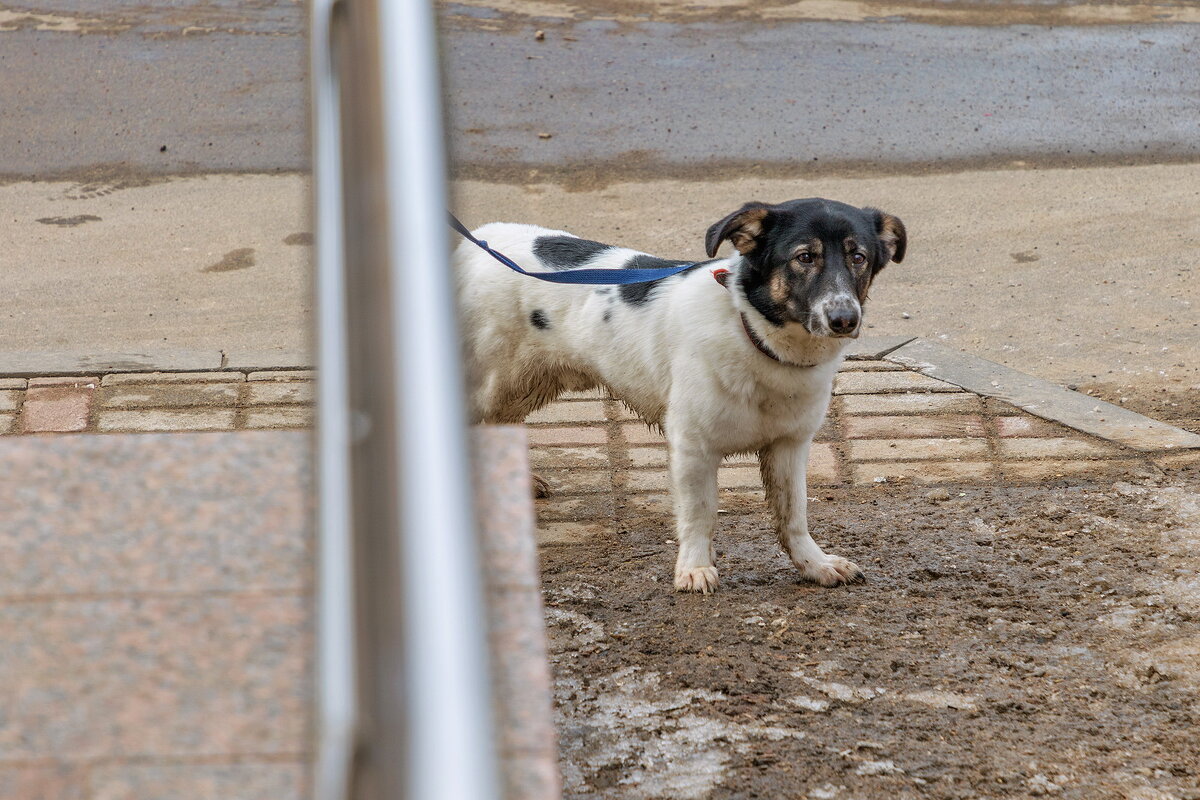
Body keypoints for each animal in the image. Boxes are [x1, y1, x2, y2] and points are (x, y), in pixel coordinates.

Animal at [453, 196, 902, 592]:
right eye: (804, 257)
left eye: (858, 257)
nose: (844, 319)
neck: (752, 335)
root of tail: (476, 238)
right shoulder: (693, 448)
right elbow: (700, 515)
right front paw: (695, 568)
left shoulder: (789, 446)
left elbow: (794, 516)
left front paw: (814, 564)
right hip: (493, 383)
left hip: (522, 385)